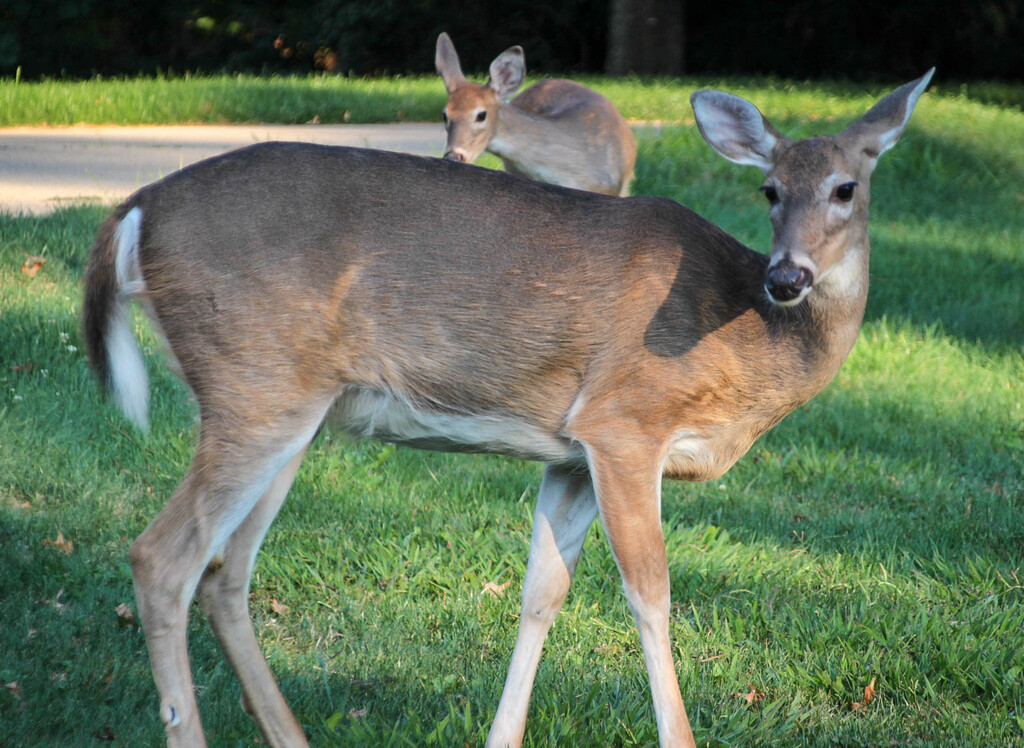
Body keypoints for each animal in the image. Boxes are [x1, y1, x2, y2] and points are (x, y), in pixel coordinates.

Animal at [83, 71, 933, 745]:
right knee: (162, 558)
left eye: (846, 188)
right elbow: (650, 595)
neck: (749, 336)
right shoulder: (625, 423)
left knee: (225, 572)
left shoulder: (571, 455)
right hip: (253, 385)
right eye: (770, 190)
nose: (788, 276)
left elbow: (542, 595)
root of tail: (134, 209)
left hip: (292, 406)